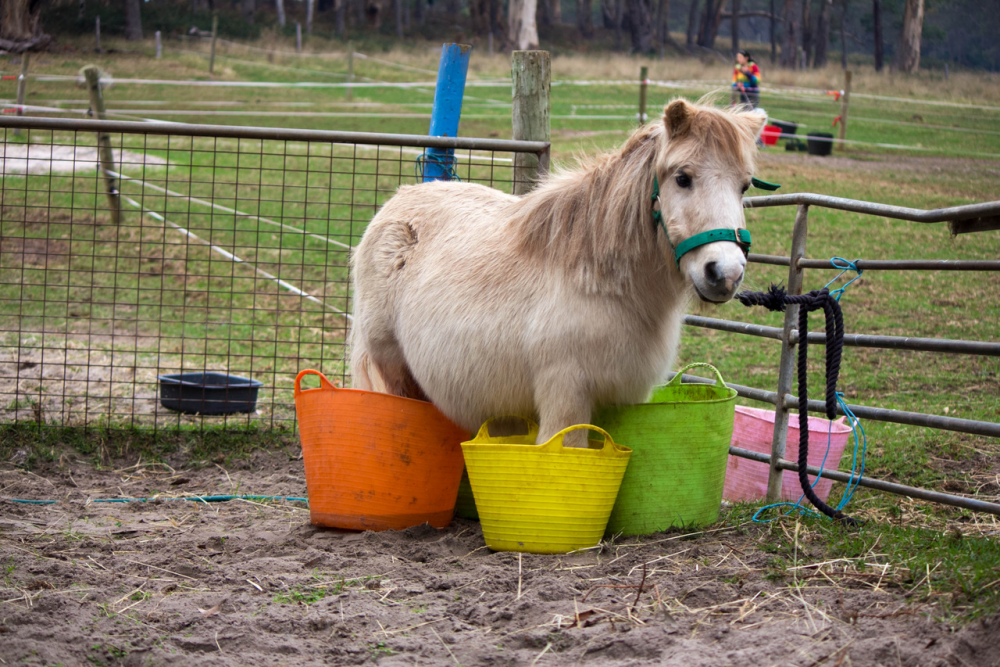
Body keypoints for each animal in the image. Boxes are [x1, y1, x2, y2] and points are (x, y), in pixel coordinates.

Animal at [350, 98, 764, 444]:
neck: (599, 280)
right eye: (682, 177)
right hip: (394, 368)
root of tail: (398, 201)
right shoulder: (566, 396)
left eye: (744, 185)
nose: (724, 273)